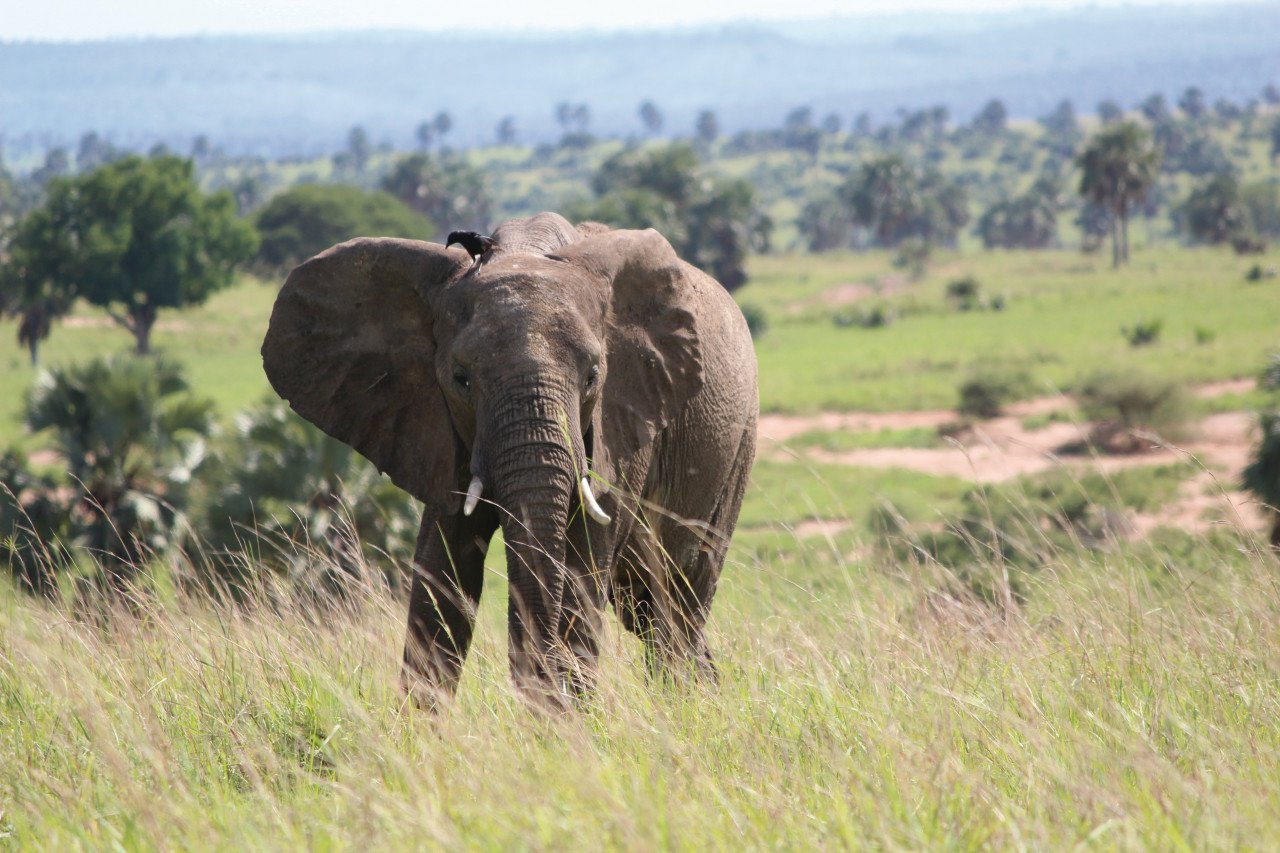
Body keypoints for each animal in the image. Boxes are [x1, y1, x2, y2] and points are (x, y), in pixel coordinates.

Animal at [263, 208, 752, 701]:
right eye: (460, 379)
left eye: (593, 376)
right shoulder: (437, 425)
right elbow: (442, 573)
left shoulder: (621, 418)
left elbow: (582, 569)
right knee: (649, 607)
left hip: (738, 447)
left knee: (676, 604)